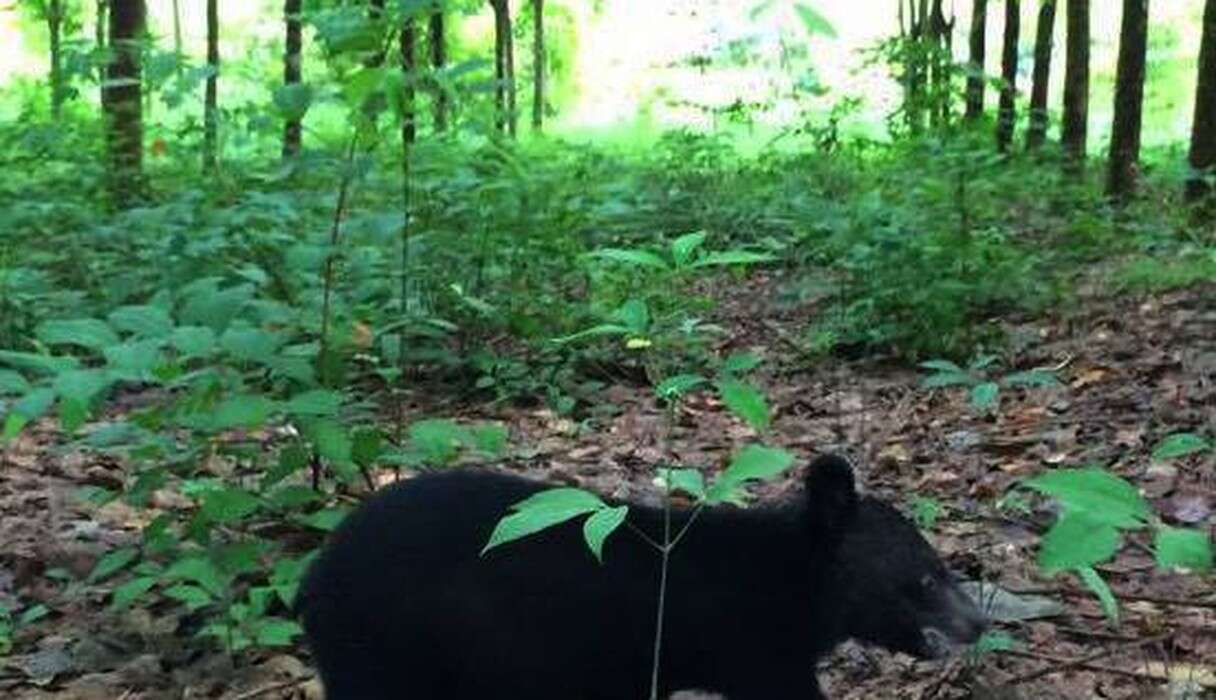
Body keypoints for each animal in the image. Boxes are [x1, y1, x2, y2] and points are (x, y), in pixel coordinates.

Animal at [296, 456, 987, 695]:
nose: (979, 622)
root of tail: (312, 578)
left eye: (940, 567)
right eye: (926, 577)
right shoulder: (752, 649)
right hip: (383, 648)